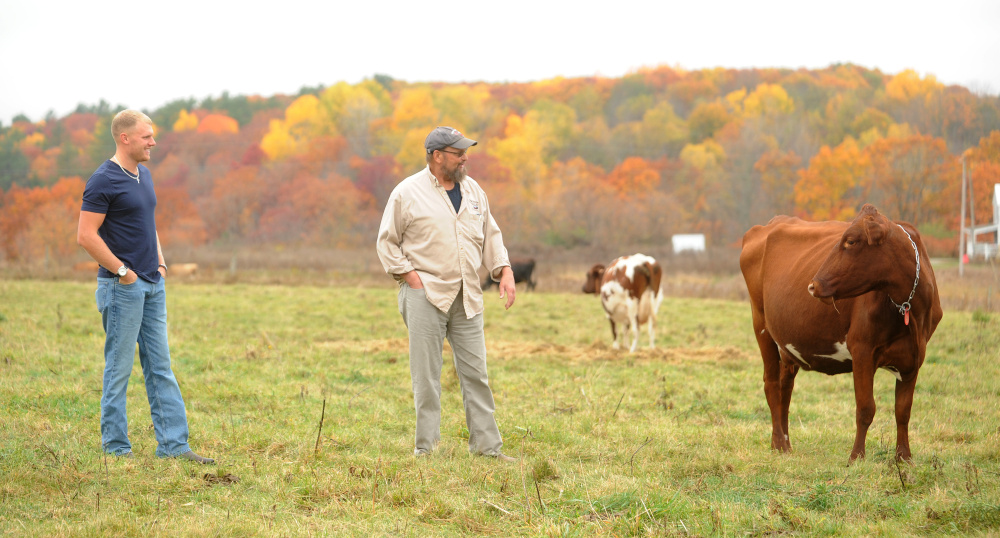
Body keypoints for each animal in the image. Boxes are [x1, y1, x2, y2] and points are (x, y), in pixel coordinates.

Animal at [744, 205, 944, 460]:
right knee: (771, 385)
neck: (911, 312)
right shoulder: (862, 349)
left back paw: (783, 444)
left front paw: (904, 457)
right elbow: (866, 408)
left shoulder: (914, 356)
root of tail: (770, 223)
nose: (813, 285)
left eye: (850, 241)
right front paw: (856, 457)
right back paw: (780, 443)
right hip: (761, 325)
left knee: (785, 388)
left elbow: (903, 411)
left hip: (787, 345)